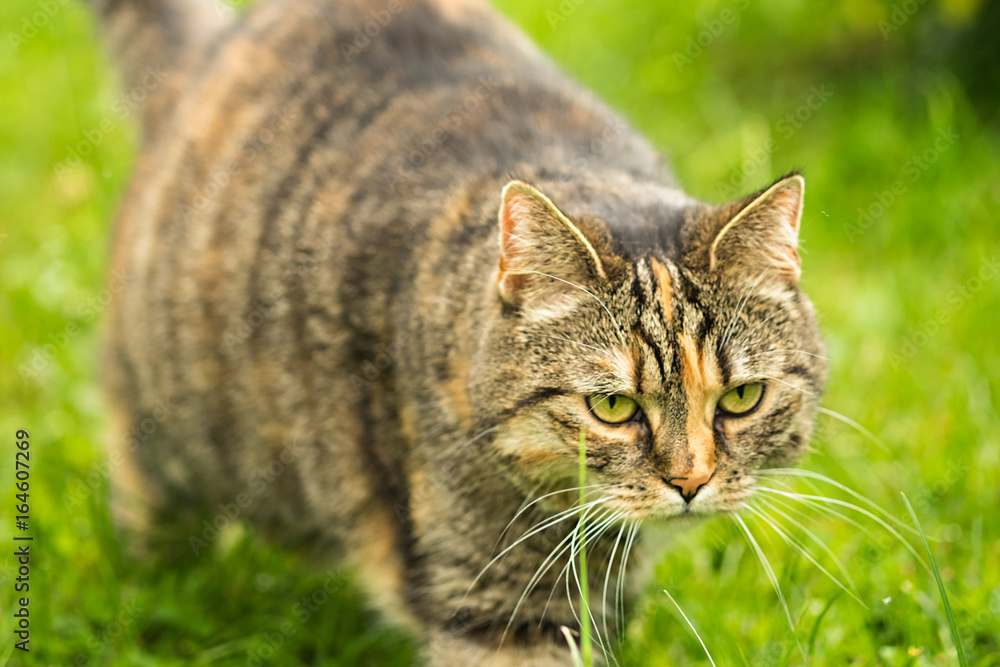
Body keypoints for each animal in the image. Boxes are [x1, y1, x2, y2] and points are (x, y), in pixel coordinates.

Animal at [92, 0, 828, 664]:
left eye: (742, 398)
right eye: (612, 406)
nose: (690, 481)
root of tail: (215, 50)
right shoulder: (503, 605)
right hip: (179, 424)